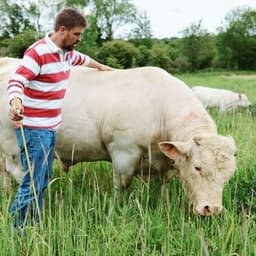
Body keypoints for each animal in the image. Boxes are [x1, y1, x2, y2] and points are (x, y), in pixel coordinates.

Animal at [0, 57, 237, 216]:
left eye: (230, 173)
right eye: (197, 167)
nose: (212, 209)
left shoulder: (163, 162)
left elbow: (163, 186)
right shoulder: (124, 152)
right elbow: (122, 185)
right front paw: (117, 207)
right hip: (13, 144)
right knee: (20, 172)